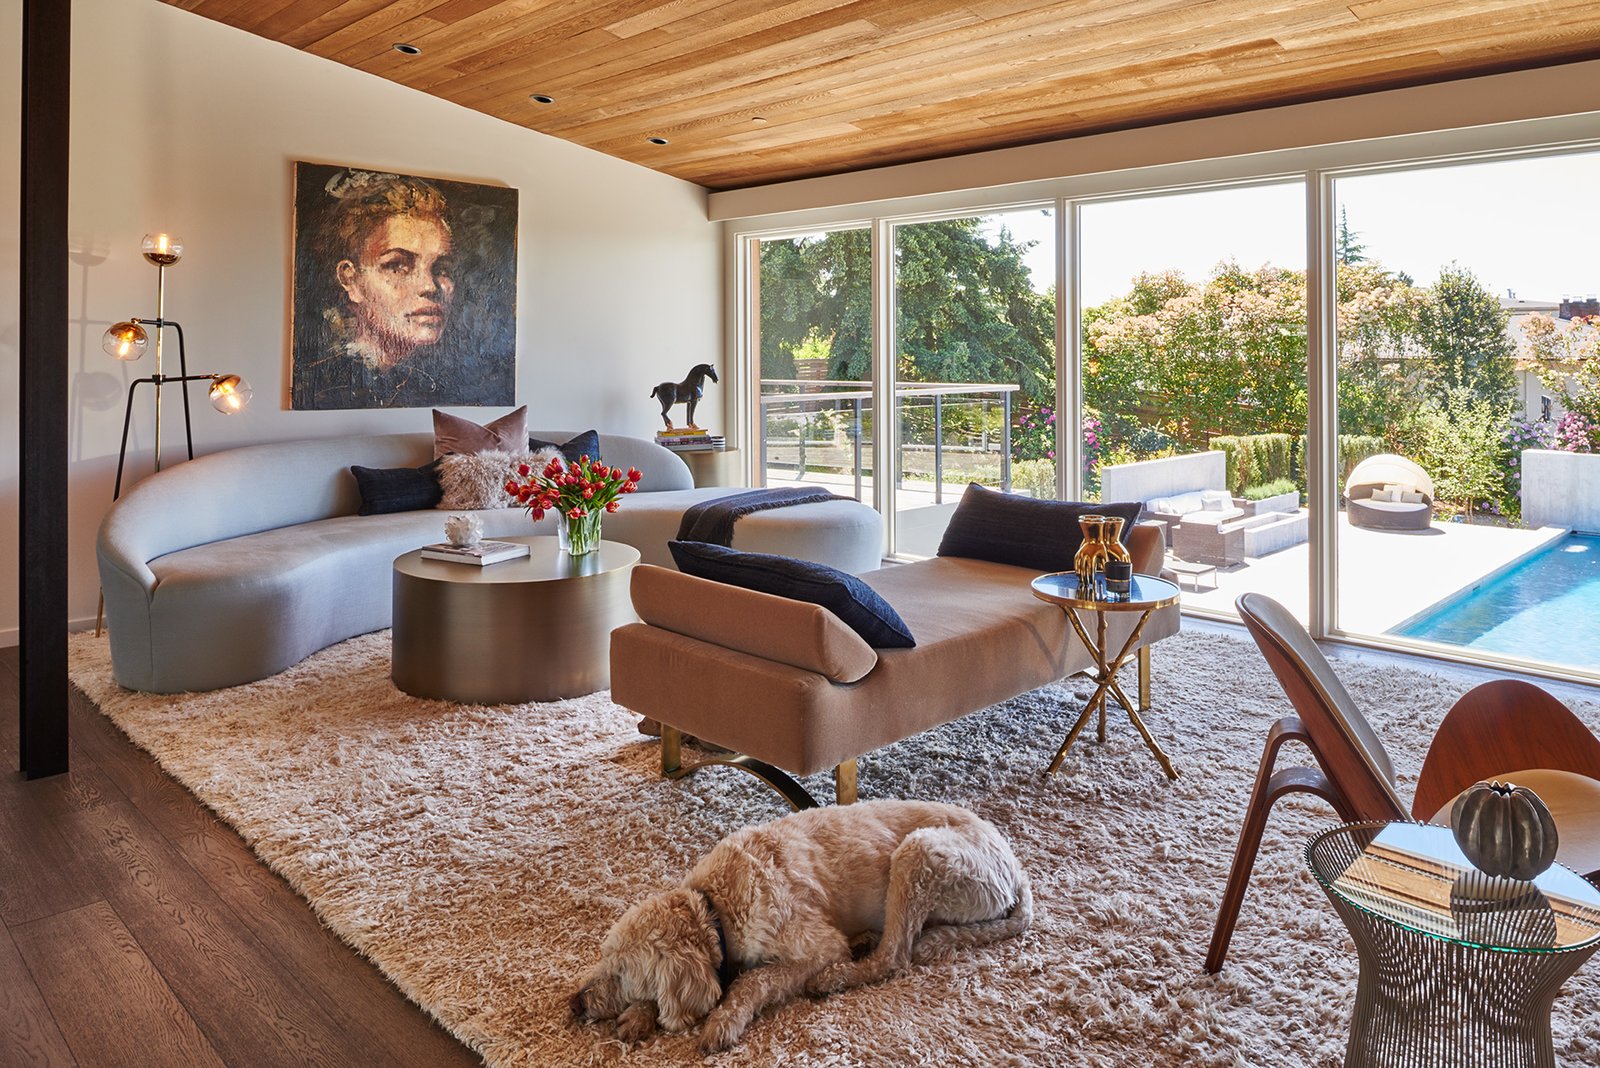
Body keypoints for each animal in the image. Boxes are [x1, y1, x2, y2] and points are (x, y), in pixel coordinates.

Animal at [569, 799, 1030, 1048]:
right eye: (605, 959)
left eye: (623, 973)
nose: (574, 1005)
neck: (716, 907)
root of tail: (1015, 866)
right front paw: (638, 1016)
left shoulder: (818, 945)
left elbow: (754, 980)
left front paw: (723, 1020)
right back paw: (863, 940)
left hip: (919, 854)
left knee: (895, 957)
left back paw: (836, 977)